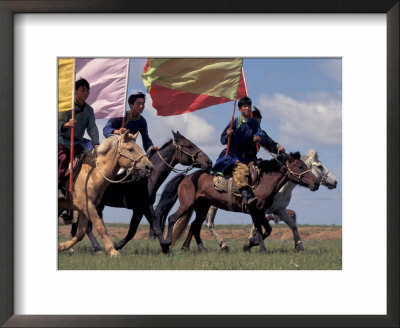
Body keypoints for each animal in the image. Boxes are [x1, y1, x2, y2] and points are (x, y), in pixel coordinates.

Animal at [155, 152, 318, 254]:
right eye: (300, 166)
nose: (316, 183)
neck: (263, 182)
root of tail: (187, 177)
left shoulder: (261, 211)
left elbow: (268, 230)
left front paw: (250, 244)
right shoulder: (254, 211)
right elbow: (260, 230)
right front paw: (261, 249)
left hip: (202, 207)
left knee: (195, 226)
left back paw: (202, 249)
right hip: (187, 204)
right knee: (172, 218)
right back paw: (166, 244)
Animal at [203, 150, 338, 252]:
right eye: (320, 166)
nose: (335, 182)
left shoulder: (280, 210)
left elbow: (293, 226)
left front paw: (299, 246)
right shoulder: (259, 211)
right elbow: (256, 228)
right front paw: (249, 244)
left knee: (209, 224)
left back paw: (222, 245)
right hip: (212, 206)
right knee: (209, 224)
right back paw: (223, 245)